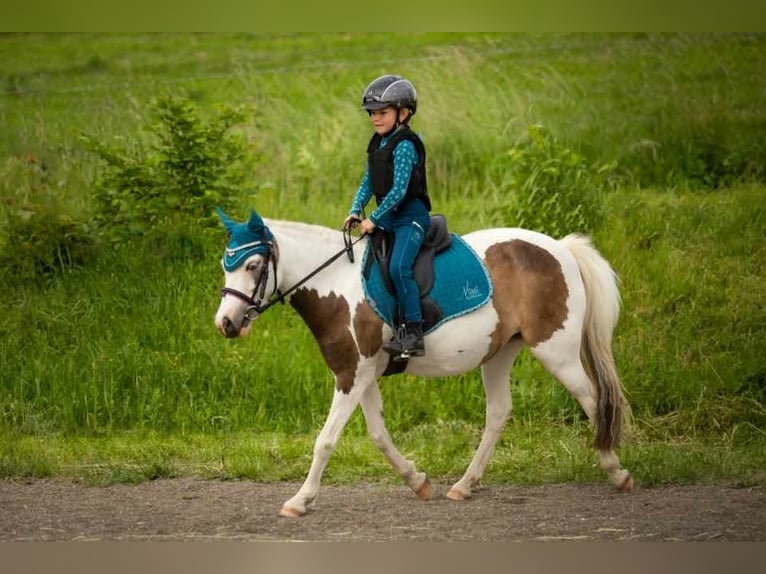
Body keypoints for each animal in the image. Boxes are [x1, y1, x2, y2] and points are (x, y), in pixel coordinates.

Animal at [213, 209, 632, 520]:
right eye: (226, 264)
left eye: (253, 265)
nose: (226, 323)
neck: (336, 285)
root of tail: (560, 248)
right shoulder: (363, 374)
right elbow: (378, 435)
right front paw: (417, 480)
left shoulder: (351, 376)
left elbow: (326, 440)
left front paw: (300, 500)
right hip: (499, 354)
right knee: (499, 412)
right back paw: (464, 485)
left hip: (556, 351)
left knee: (593, 401)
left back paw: (618, 473)